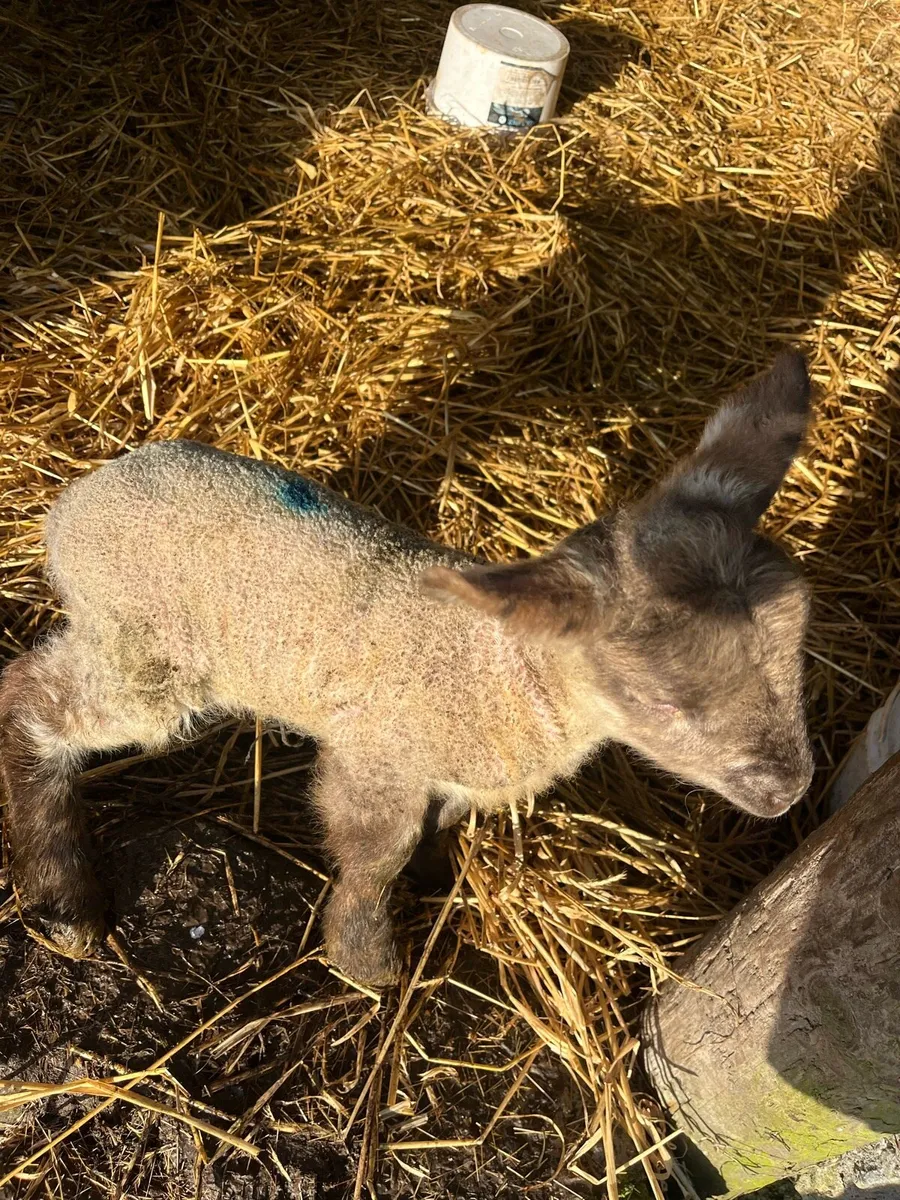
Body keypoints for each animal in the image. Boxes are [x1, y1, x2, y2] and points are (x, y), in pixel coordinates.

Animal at [0, 352, 814, 986]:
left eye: (798, 640)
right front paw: (366, 961)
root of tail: (74, 503)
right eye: (661, 702)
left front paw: (430, 875)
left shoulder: (447, 769)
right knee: (30, 700)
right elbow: (373, 852)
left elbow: (437, 821)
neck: (499, 675)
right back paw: (61, 898)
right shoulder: (376, 756)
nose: (790, 790)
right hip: (146, 649)